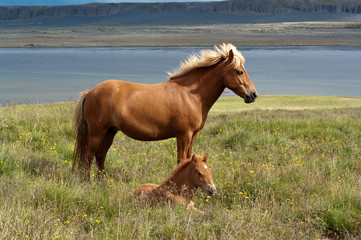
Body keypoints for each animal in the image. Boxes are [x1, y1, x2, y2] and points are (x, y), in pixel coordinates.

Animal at [74, 43, 258, 180]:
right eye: (239, 71)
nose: (253, 95)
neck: (190, 95)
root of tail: (90, 92)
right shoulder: (183, 135)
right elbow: (181, 160)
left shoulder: (193, 135)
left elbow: (188, 159)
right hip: (97, 133)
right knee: (88, 157)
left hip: (110, 132)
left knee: (100, 157)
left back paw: (103, 183)